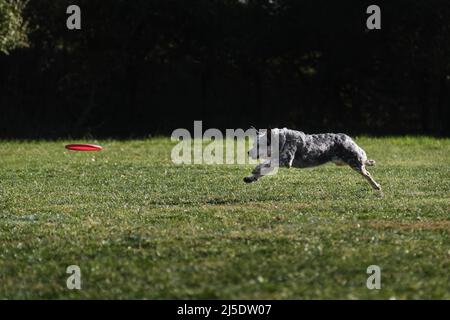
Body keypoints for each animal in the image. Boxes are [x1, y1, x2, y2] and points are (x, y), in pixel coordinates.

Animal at [244, 127, 382, 190]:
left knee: (367, 173)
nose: (248, 152)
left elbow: (262, 165)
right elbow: (263, 170)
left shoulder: (285, 160)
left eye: (258, 145)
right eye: (253, 144)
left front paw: (255, 170)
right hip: (341, 161)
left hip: (353, 161)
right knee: (364, 162)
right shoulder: (277, 161)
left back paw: (376, 186)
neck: (281, 140)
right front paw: (250, 178)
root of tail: (348, 138)